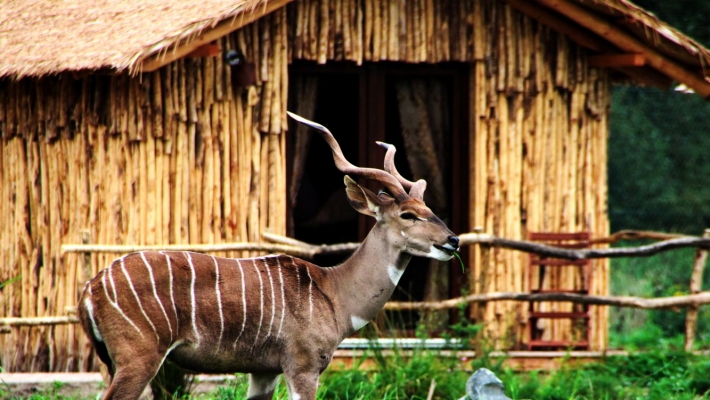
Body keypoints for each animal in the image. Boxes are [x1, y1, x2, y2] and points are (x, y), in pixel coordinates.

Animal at [78, 112, 462, 400]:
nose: (453, 240)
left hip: (115, 362)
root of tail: (90, 290)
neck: (335, 294)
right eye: (408, 215)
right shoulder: (303, 366)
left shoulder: (263, 372)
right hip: (138, 358)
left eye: (428, 208)